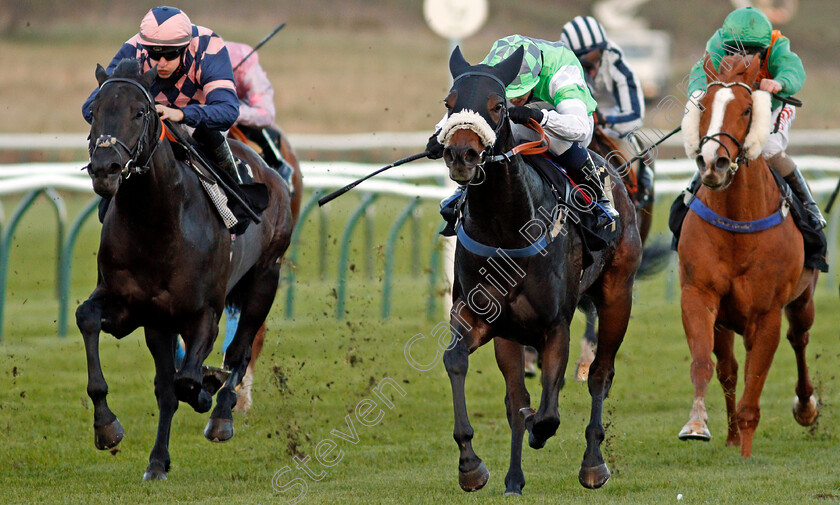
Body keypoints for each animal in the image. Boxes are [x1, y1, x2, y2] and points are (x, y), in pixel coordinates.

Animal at [78, 61, 296, 478]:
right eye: (94, 111)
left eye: (140, 112)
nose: (104, 169)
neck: (158, 225)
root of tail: (270, 172)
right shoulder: (134, 309)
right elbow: (88, 319)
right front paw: (107, 426)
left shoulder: (204, 313)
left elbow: (189, 380)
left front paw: (207, 391)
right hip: (162, 323)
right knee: (170, 386)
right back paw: (158, 459)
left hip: (265, 277)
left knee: (240, 350)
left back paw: (223, 412)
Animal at [436, 47, 640, 492]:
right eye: (448, 102)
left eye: (497, 105)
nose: (461, 154)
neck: (505, 230)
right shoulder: (481, 317)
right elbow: (457, 361)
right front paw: (470, 465)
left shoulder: (555, 324)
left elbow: (548, 414)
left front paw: (540, 430)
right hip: (510, 333)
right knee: (516, 396)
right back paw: (514, 478)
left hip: (618, 295)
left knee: (600, 373)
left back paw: (593, 463)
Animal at [680, 53, 816, 454]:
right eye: (704, 106)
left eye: (745, 110)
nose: (714, 162)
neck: (738, 225)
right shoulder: (699, 294)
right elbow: (704, 364)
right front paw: (698, 423)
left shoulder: (767, 313)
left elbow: (753, 394)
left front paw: (746, 454)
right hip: (727, 321)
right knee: (728, 368)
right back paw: (729, 436)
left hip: (802, 299)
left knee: (799, 340)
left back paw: (806, 407)